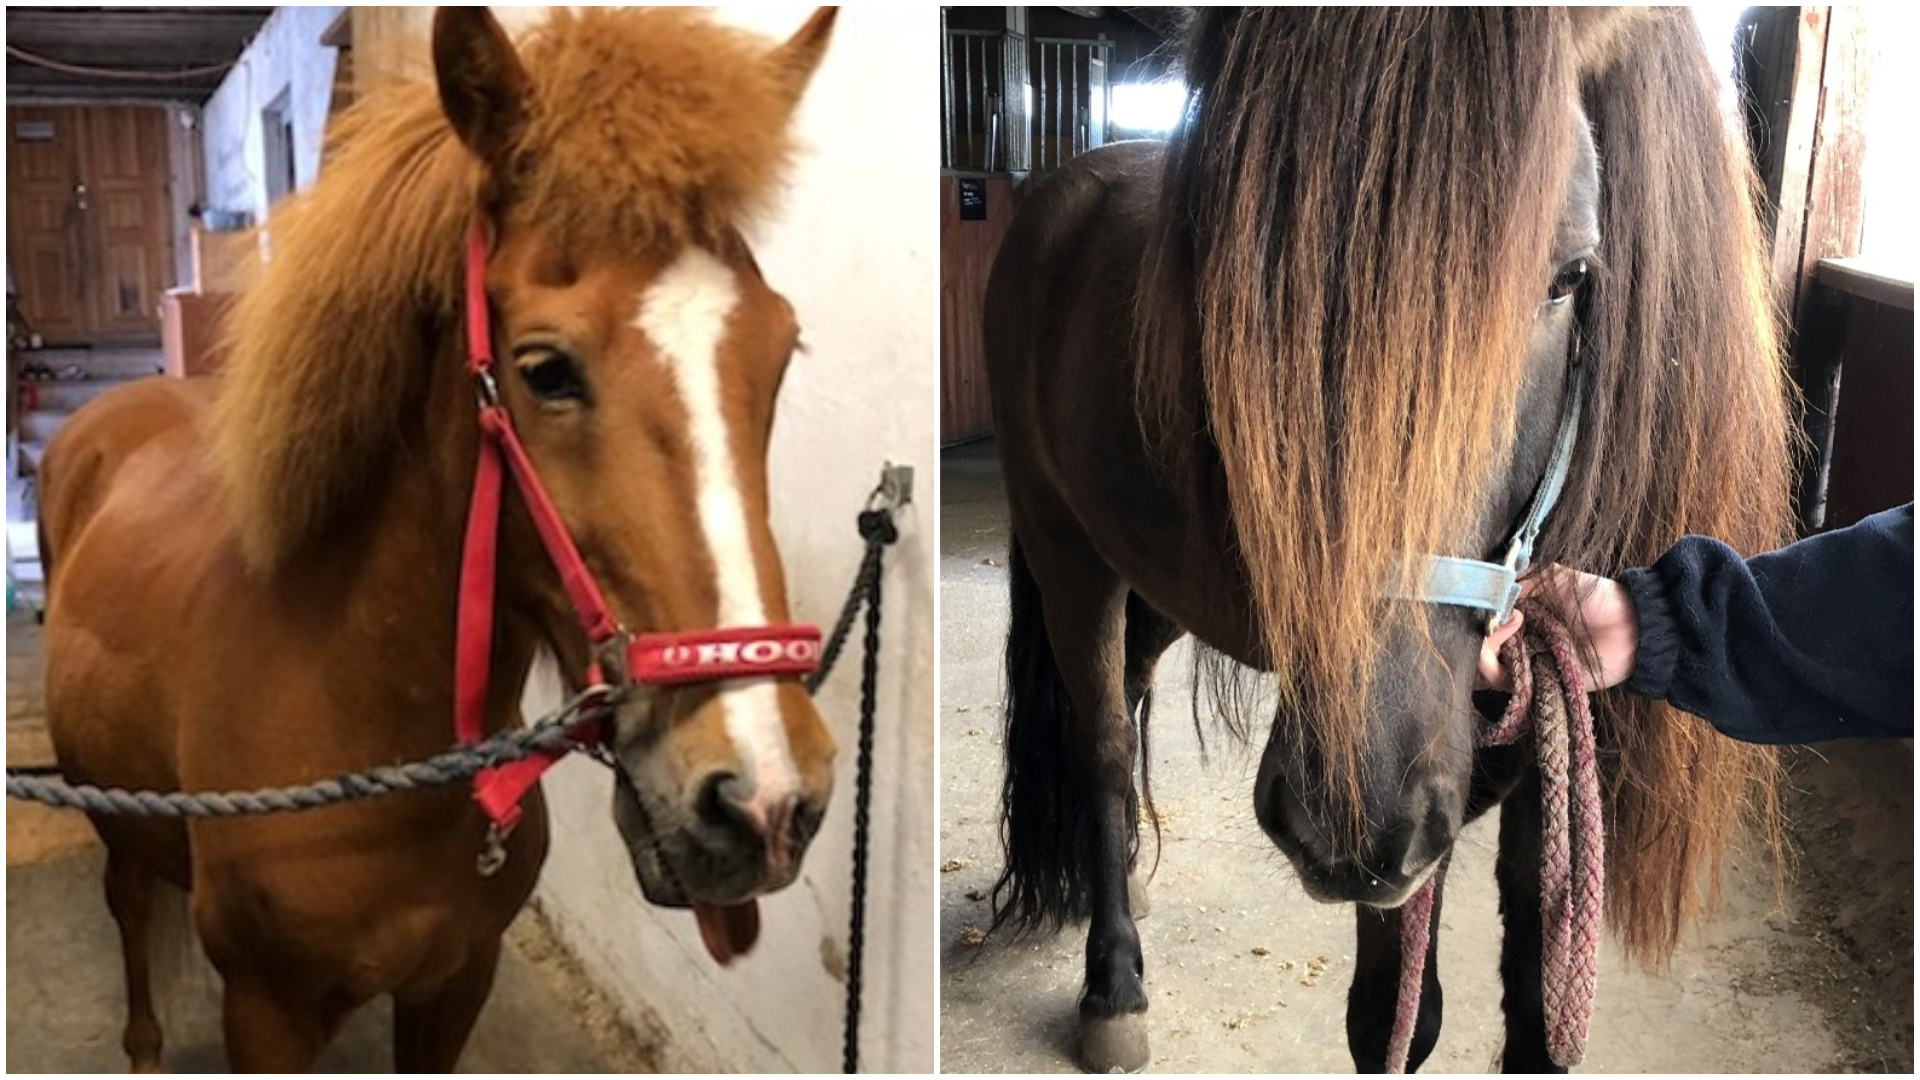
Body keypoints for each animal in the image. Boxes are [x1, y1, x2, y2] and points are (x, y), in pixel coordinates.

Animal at [36, 6, 840, 1070]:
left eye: (778, 351)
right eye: (544, 370)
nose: (768, 798)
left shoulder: (455, 983)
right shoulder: (265, 1012)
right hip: (115, 825)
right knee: (134, 937)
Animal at [984, 8, 1792, 1072]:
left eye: (1570, 276)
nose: (1345, 809)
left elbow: (1536, 1011)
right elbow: (1394, 1018)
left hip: (1149, 579)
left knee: (1127, 693)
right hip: (1068, 553)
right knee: (1105, 741)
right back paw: (1113, 982)